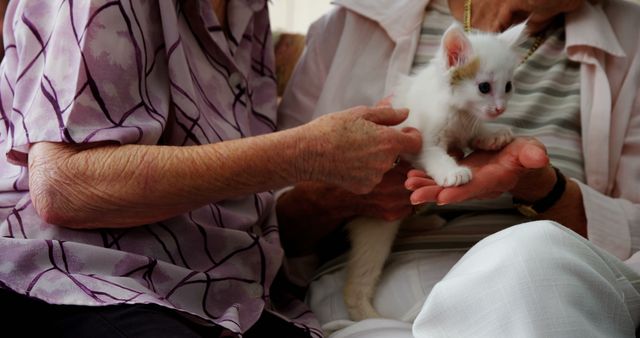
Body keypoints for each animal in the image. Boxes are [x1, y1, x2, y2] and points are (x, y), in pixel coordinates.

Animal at [342, 21, 528, 322]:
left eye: (508, 86)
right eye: (484, 87)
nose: (500, 108)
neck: (458, 112)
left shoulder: (466, 125)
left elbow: (475, 131)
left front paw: (492, 135)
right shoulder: (423, 140)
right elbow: (435, 156)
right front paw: (453, 172)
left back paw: (426, 221)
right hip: (375, 226)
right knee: (358, 281)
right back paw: (367, 316)